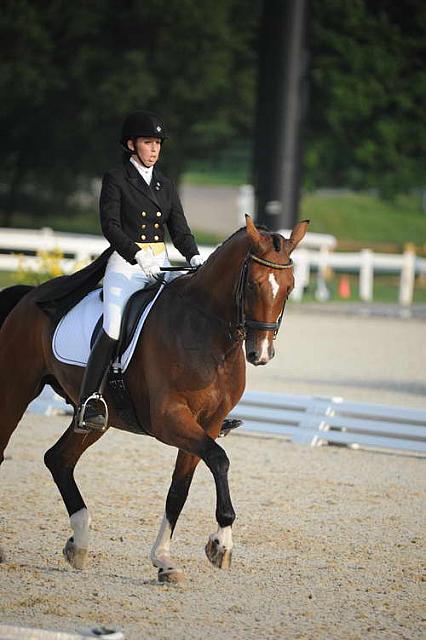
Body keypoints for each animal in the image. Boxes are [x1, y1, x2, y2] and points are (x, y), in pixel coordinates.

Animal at [0, 218, 308, 584]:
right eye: (253, 285)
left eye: (289, 288)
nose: (260, 354)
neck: (207, 334)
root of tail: (28, 296)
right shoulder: (168, 419)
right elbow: (220, 459)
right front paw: (221, 543)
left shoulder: (208, 423)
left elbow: (179, 490)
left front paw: (164, 560)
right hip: (16, 389)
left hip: (96, 417)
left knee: (59, 459)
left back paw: (80, 544)